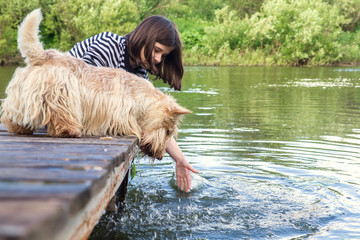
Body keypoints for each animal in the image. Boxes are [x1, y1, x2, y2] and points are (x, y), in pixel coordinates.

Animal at [0, 8, 191, 159]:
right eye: (168, 131)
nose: (159, 156)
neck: (139, 96)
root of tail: (45, 54)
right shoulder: (119, 113)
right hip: (62, 93)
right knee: (61, 115)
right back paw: (68, 131)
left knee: (15, 114)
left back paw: (20, 127)